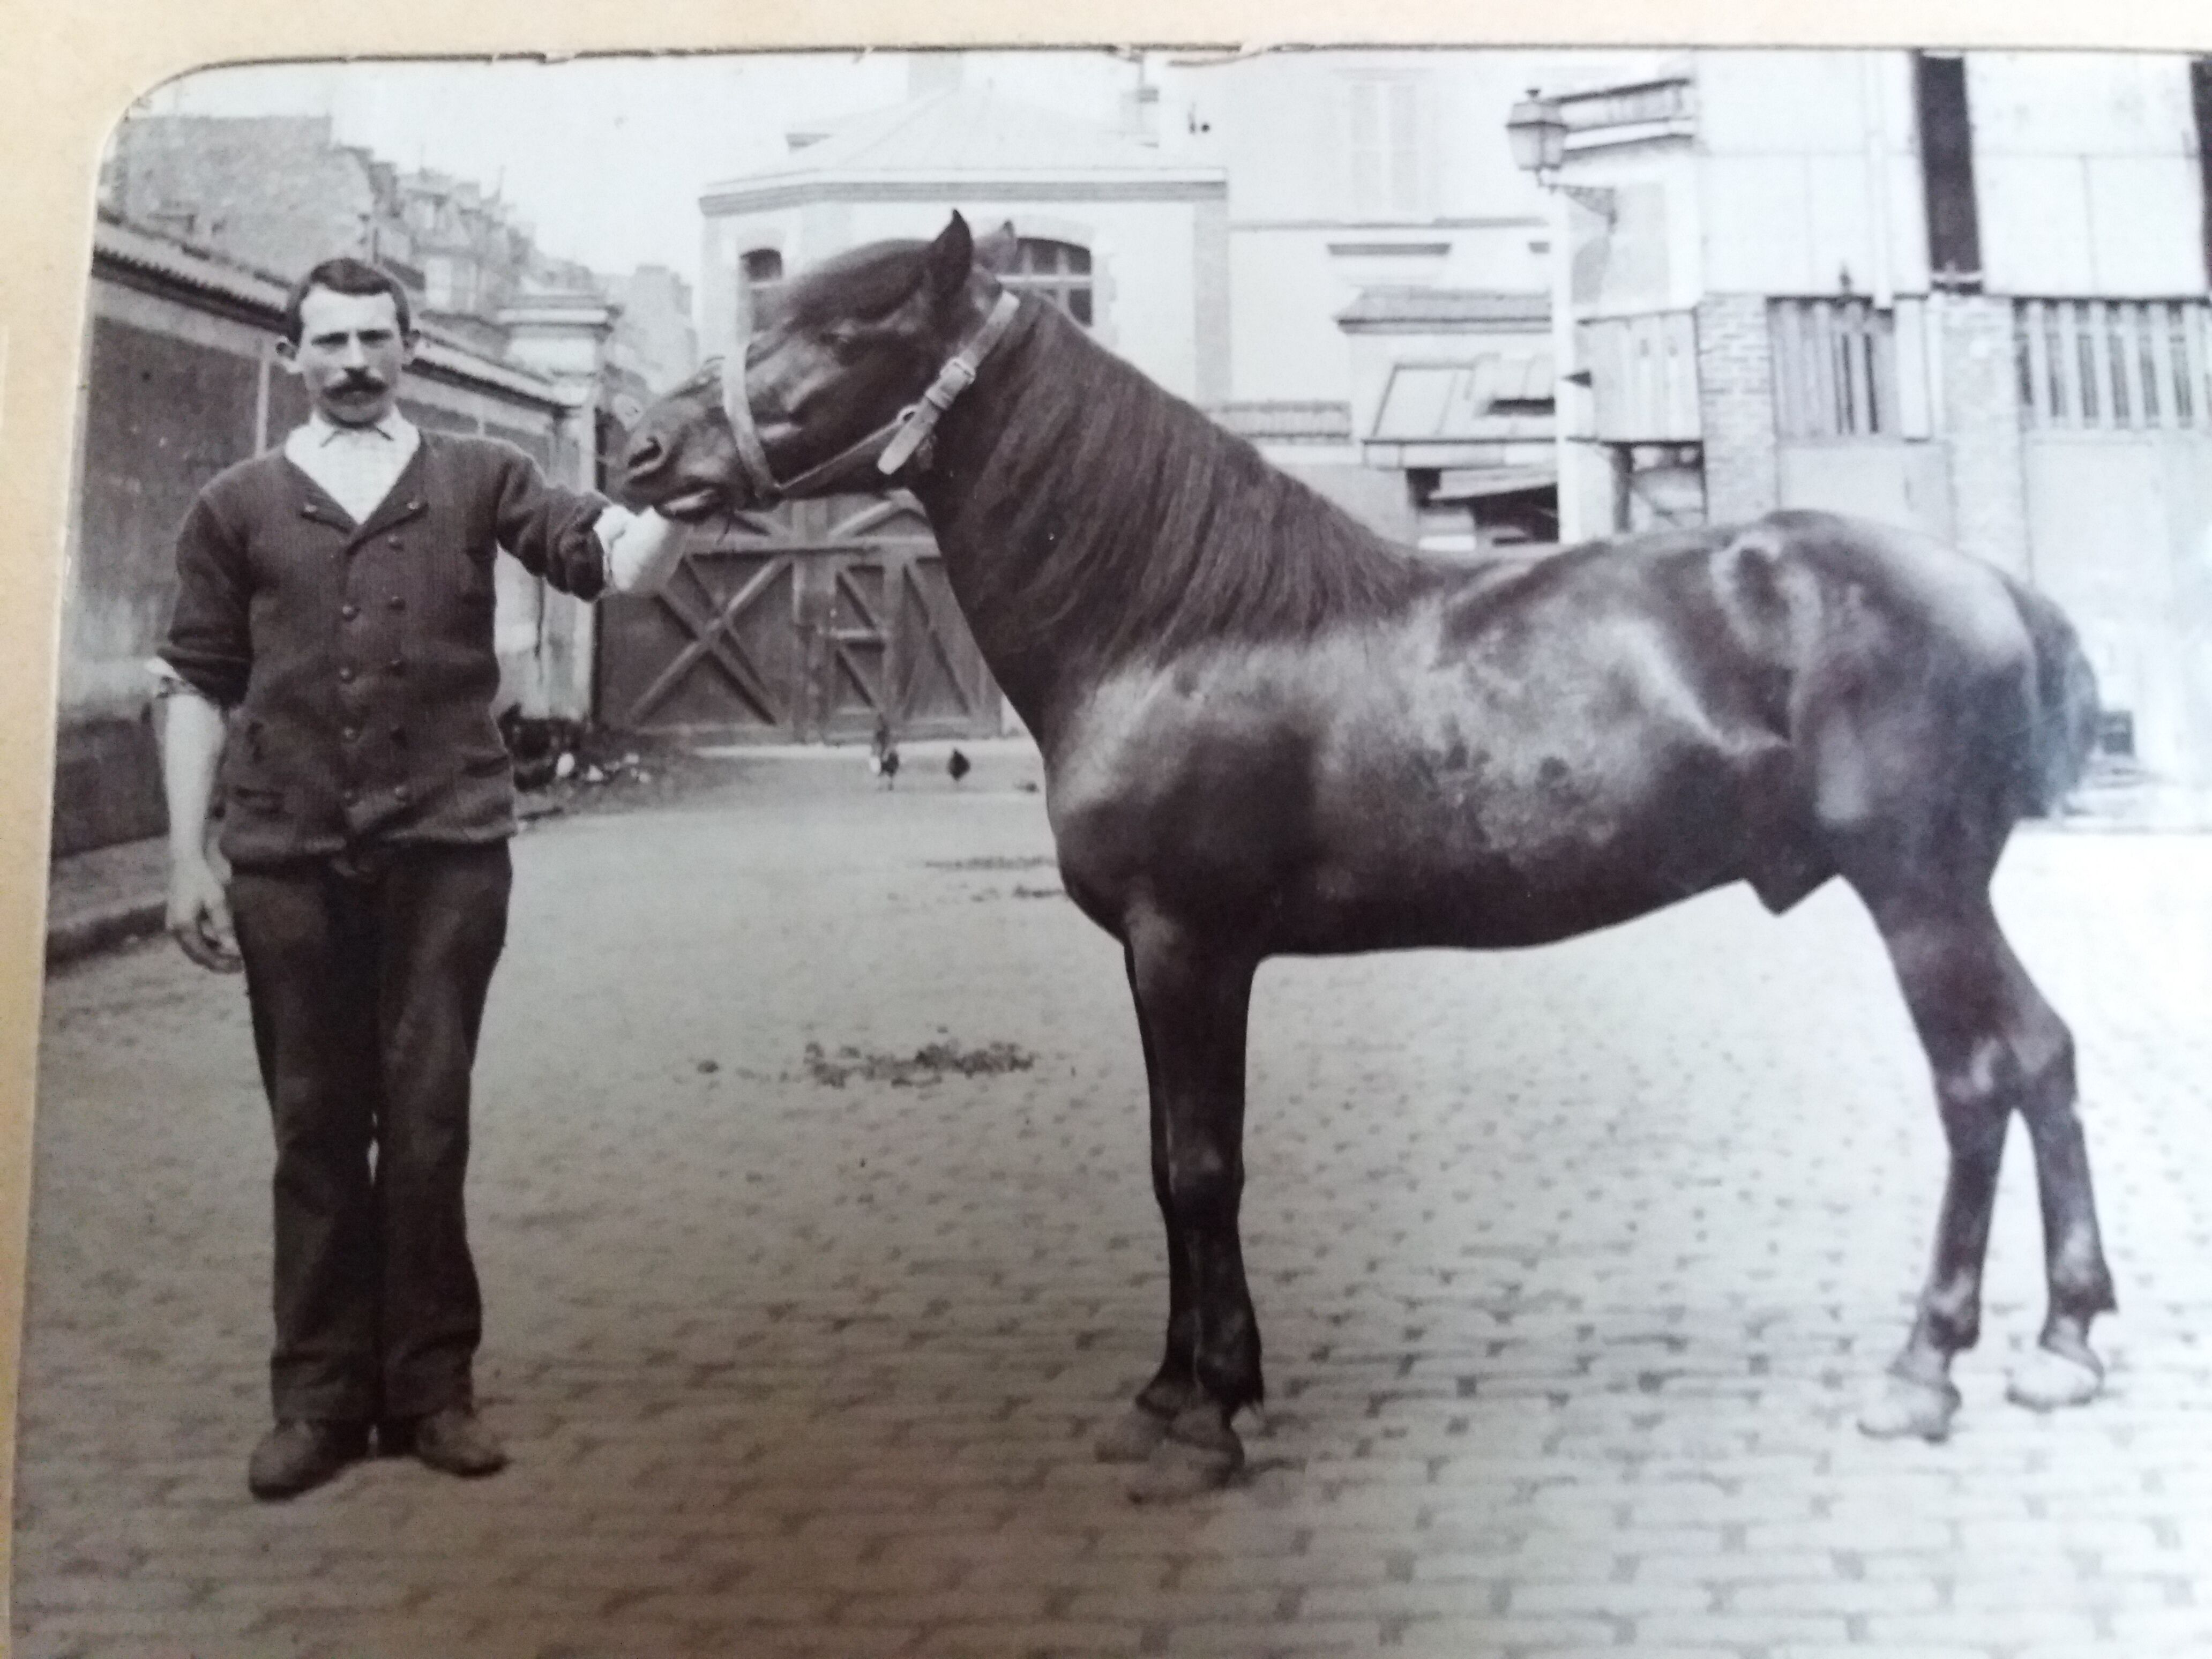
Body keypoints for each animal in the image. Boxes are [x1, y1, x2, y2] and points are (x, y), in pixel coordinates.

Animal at [620, 212, 2116, 1495]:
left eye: (829, 328)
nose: (639, 451)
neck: (1173, 623)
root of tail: (1987, 585)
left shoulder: (1191, 948)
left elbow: (1201, 1168)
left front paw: (1211, 1413)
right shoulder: (1156, 961)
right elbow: (1165, 1165)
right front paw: (1168, 1393)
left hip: (1917, 894)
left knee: (1977, 1080)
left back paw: (1925, 1370)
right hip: (1949, 896)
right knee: (2042, 1053)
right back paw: (2064, 1343)